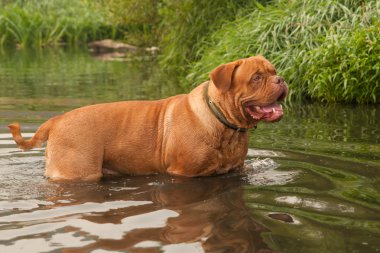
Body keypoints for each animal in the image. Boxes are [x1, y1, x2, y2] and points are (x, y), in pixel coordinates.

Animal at [8, 56, 288, 181]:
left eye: (274, 71)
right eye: (256, 78)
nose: (281, 79)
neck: (223, 123)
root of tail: (55, 120)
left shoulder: (236, 168)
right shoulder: (183, 173)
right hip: (79, 173)